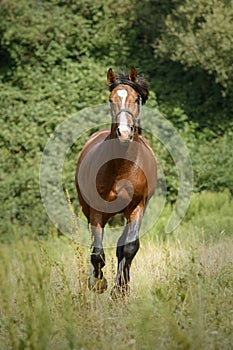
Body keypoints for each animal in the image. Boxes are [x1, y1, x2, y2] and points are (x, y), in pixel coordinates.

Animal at [75, 66, 157, 298]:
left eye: (136, 99)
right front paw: (98, 283)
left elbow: (129, 247)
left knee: (123, 245)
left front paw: (120, 290)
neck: (122, 167)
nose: (124, 132)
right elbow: (97, 252)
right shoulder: (96, 211)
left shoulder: (137, 207)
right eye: (111, 99)